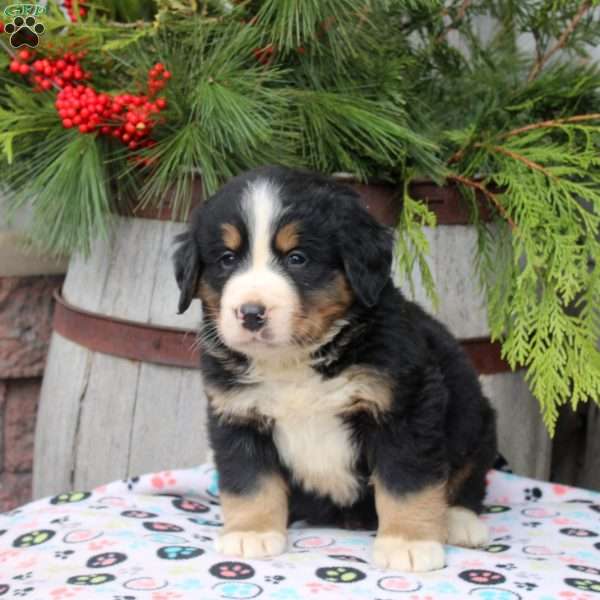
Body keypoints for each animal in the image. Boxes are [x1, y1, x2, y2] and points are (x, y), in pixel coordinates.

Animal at [172, 164, 496, 572]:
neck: (294, 361)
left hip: (474, 416)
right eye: (227, 259)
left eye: (297, 258)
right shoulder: (238, 415)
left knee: (469, 478)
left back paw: (459, 521)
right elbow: (249, 480)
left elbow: (407, 480)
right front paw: (251, 532)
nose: (251, 313)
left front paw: (408, 543)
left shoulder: (404, 407)